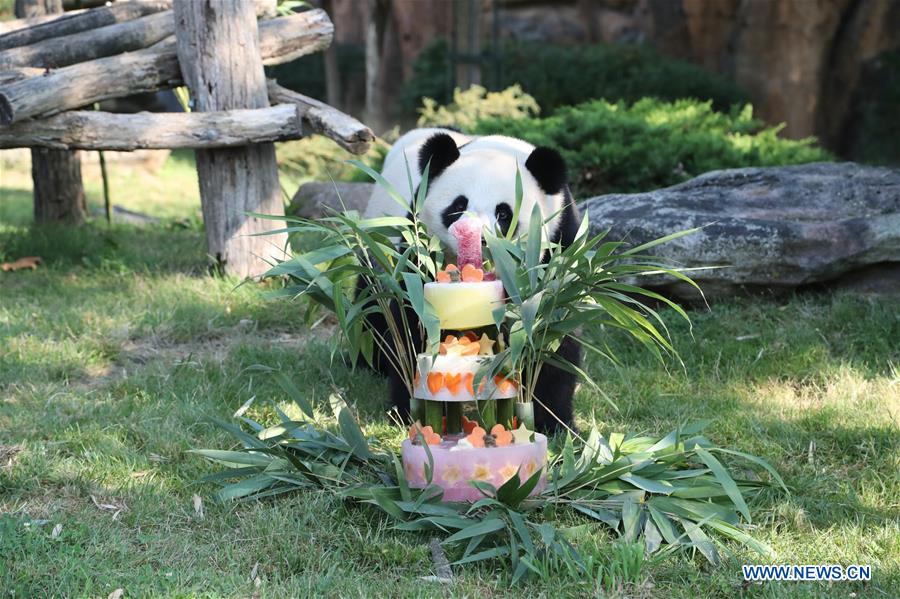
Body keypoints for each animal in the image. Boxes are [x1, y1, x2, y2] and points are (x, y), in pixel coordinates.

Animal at [363, 128, 582, 433]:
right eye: (458, 206)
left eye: (504, 213)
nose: (476, 237)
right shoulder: (417, 246)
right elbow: (412, 322)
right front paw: (407, 408)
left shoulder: (558, 245)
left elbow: (554, 329)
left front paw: (555, 422)